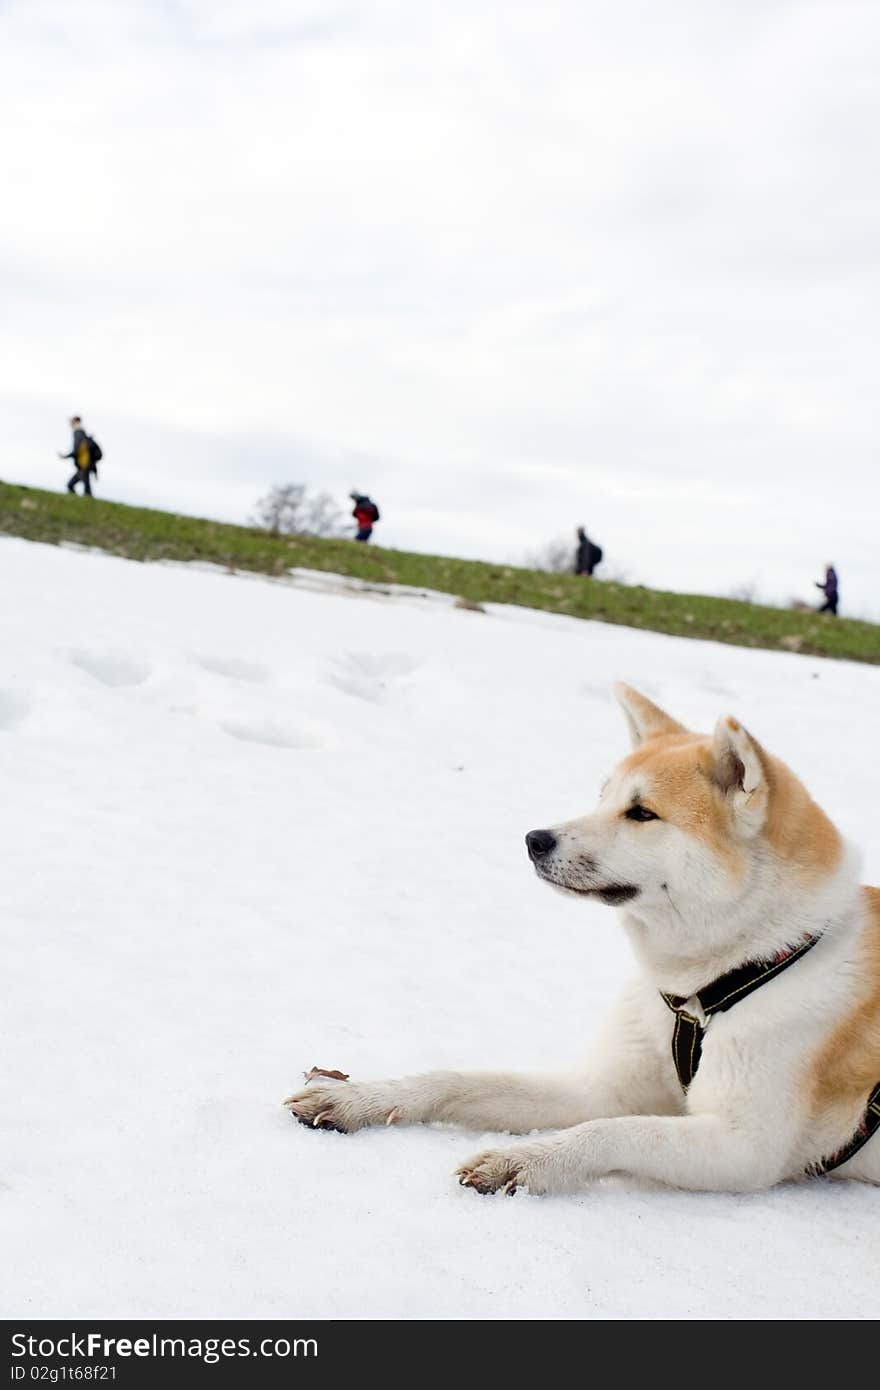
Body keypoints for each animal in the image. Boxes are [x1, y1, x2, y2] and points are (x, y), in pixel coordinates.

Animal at [283, 683, 878, 1195]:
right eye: (603, 796)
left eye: (642, 813)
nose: (534, 839)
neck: (713, 983)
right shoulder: (603, 1088)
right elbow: (456, 1080)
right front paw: (361, 1098)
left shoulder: (743, 1148)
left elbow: (615, 1130)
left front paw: (526, 1160)